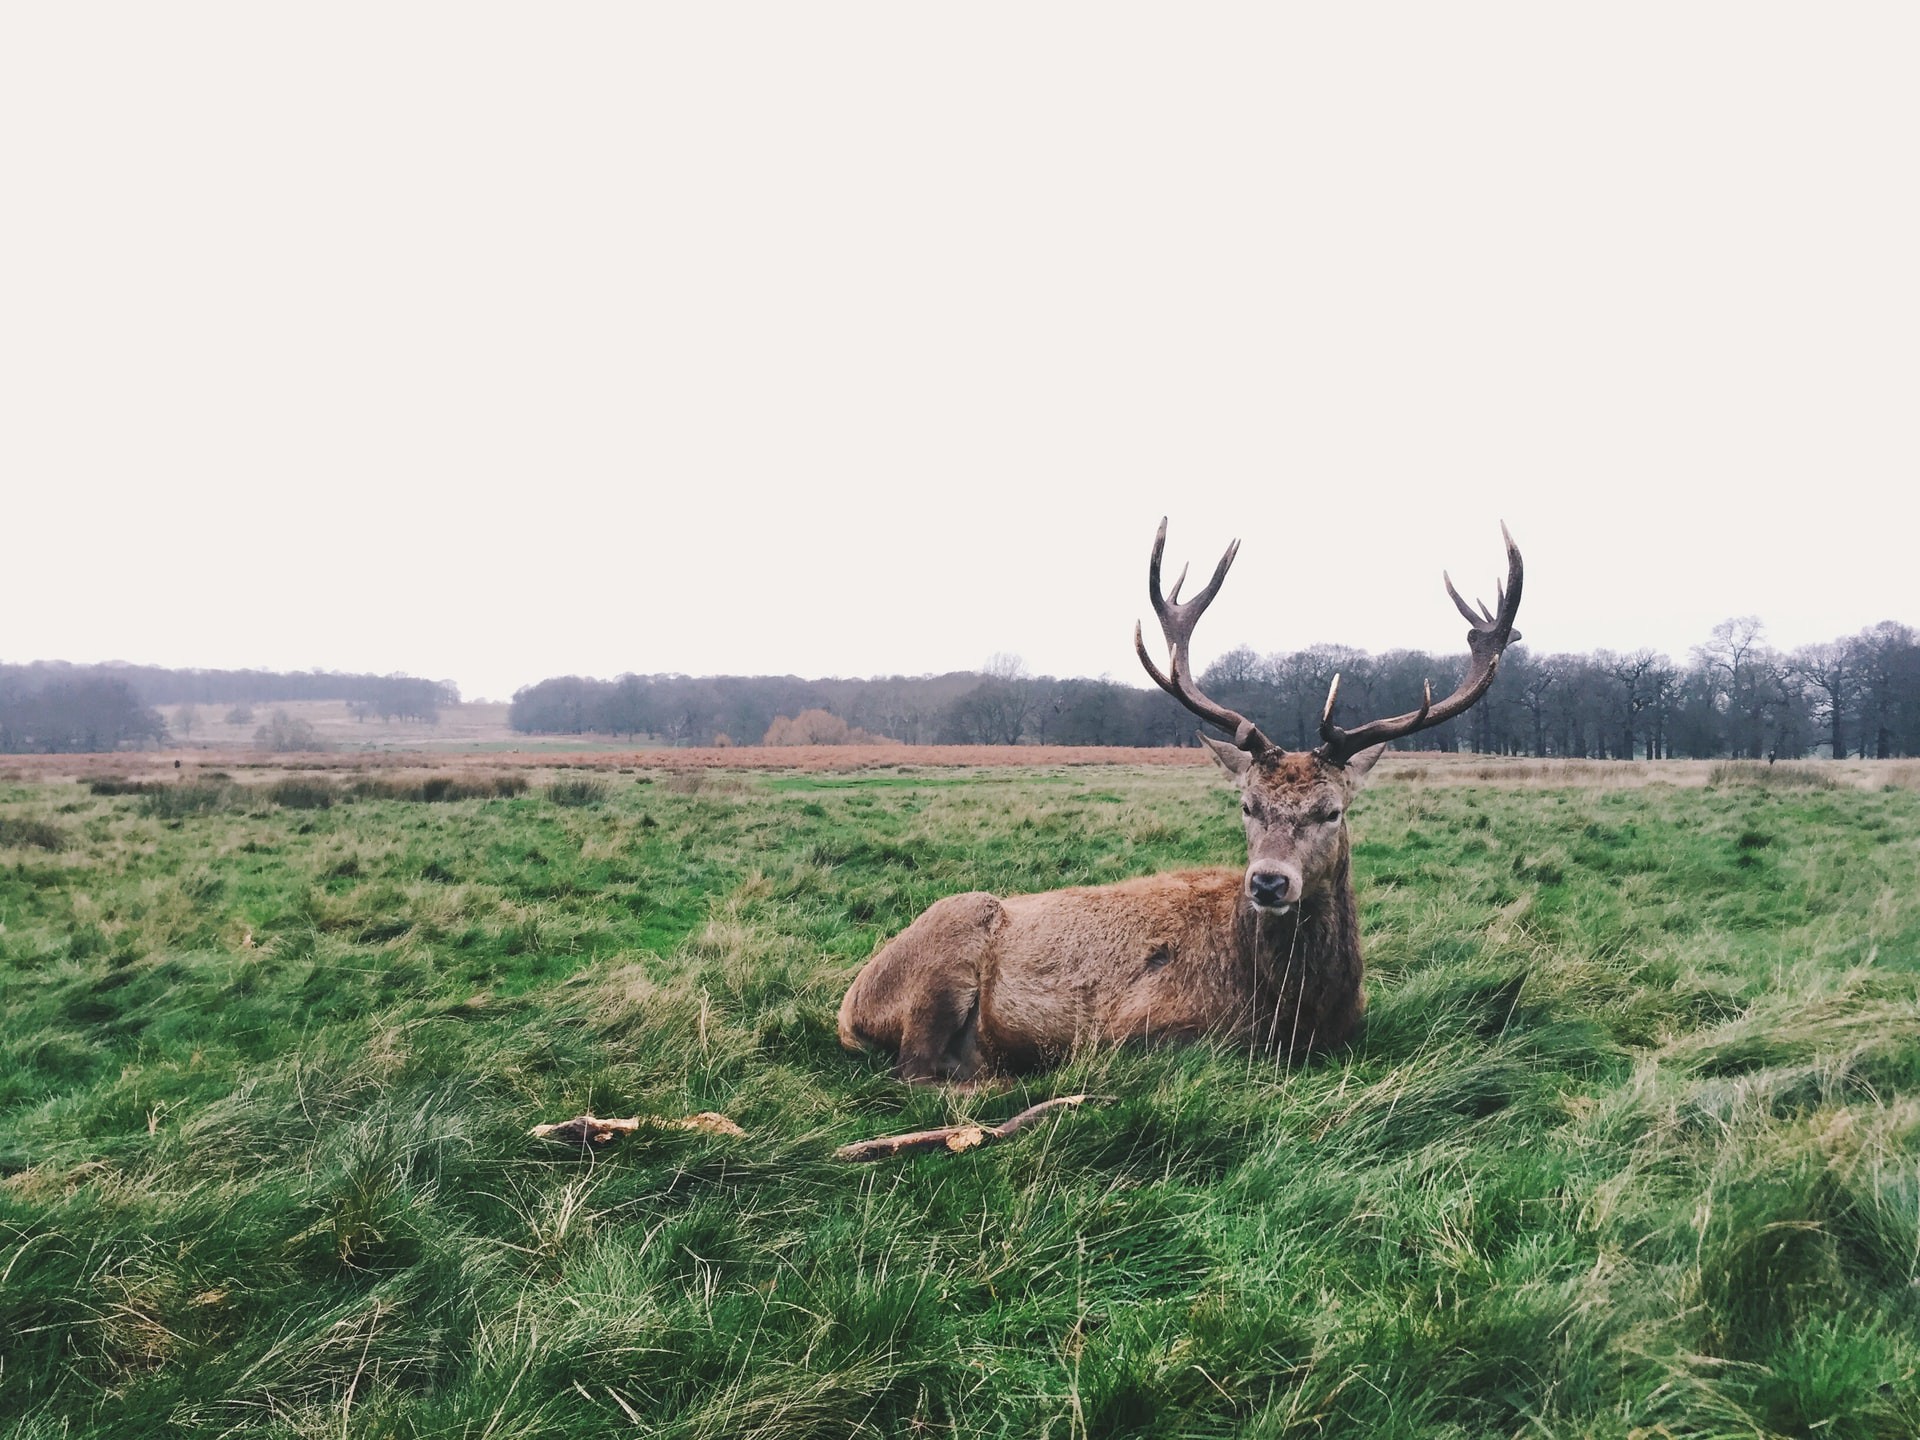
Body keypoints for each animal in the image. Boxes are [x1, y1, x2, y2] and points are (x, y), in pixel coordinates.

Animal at [840, 518, 1528, 1082]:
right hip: (945, 953)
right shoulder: (1139, 1028)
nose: (1269, 883)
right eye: (1247, 805)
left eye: (1331, 811)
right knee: (917, 1070)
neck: (1296, 1014)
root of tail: (851, 1003)